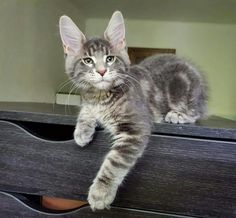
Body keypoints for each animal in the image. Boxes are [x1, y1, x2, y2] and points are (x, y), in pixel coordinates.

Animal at [58, 11, 206, 210]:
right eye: (87, 61)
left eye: (110, 58)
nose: (102, 71)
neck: (101, 97)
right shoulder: (89, 101)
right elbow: (86, 110)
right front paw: (82, 131)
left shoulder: (135, 126)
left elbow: (114, 162)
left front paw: (100, 192)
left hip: (182, 89)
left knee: (195, 112)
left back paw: (177, 115)